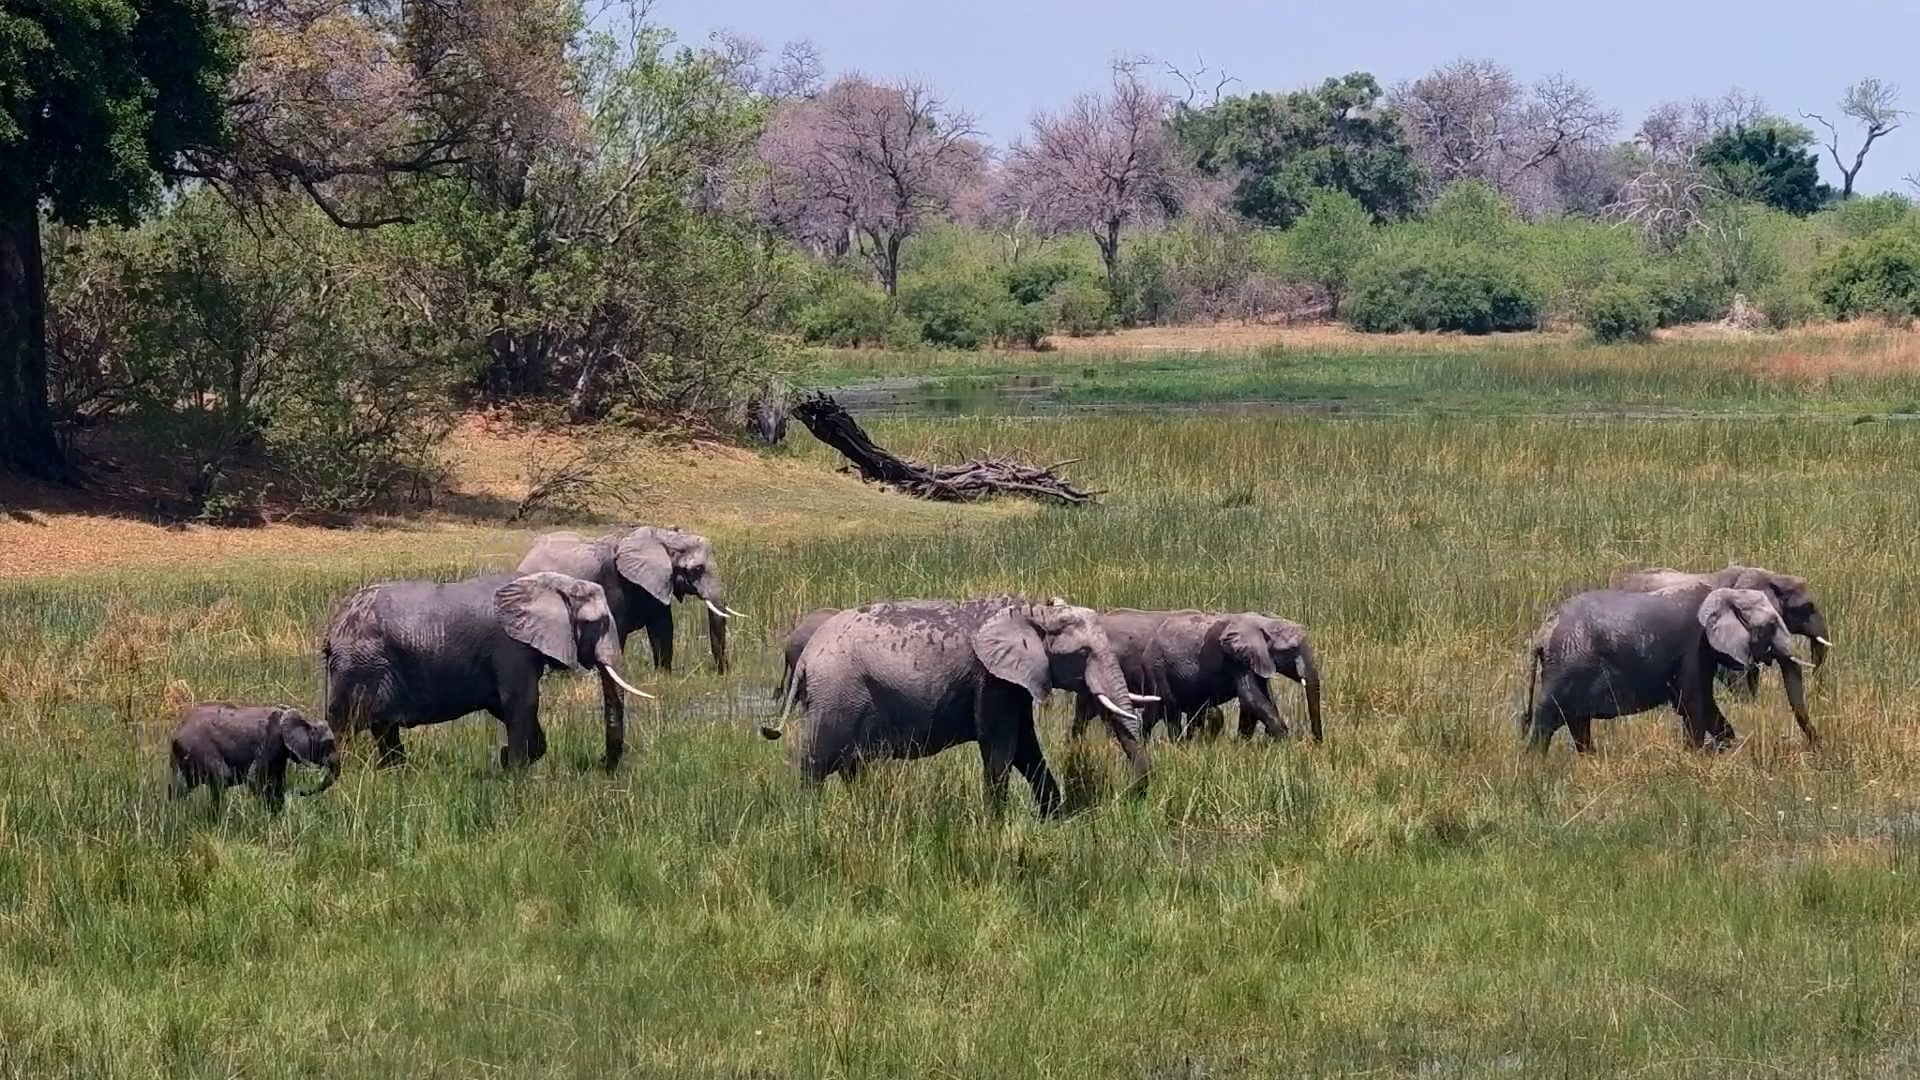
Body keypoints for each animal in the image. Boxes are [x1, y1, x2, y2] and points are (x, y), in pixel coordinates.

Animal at [170, 702, 341, 810]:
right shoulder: (269, 744)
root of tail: (177, 733)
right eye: (329, 744)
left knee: (178, 789)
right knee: (220, 780)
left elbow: (278, 782)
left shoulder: (279, 753)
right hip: (202, 750)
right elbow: (255, 779)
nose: (300, 792)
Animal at [322, 571, 653, 769]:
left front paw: (508, 759)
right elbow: (521, 703)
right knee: (345, 724)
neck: (546, 584)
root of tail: (333, 626)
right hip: (360, 664)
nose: (602, 763)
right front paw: (515, 773)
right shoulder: (511, 648)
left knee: (384, 728)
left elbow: (507, 707)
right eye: (597, 623)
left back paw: (396, 772)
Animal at [518, 526, 742, 675]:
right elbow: (618, 627)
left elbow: (663, 628)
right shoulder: (614, 583)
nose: (722, 673)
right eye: (697, 570)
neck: (664, 538)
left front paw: (663, 676)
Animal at [766, 596, 1157, 815]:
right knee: (816, 763)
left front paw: (1054, 819)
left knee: (851, 766)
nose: (1128, 797)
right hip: (836, 696)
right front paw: (994, 825)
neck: (1032, 611)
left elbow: (1027, 748)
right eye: (1083, 653)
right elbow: (1002, 747)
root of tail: (805, 658)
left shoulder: (1012, 682)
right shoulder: (991, 679)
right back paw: (809, 816)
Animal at [1525, 586, 1813, 753]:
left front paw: (1725, 750)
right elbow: (1693, 703)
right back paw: (1535, 766)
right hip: (1565, 667)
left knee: (1578, 724)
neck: (1723, 593)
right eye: (1771, 625)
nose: (1815, 747)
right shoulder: (1693, 646)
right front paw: (1696, 756)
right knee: (1546, 721)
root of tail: (1541, 634)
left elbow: (1706, 707)